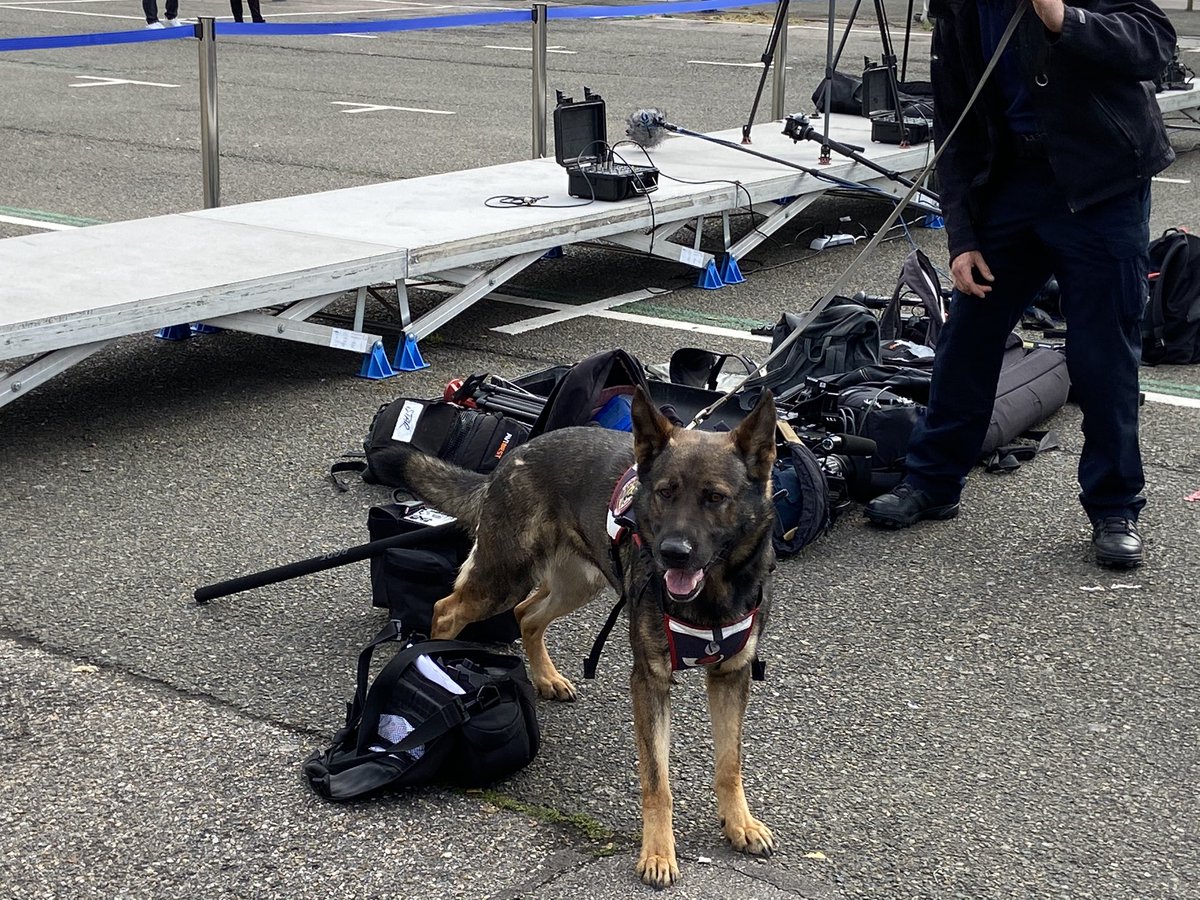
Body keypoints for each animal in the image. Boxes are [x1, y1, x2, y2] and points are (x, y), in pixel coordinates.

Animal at [372, 388, 777, 888]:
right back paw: (433, 658)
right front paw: (658, 851)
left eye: (715, 498)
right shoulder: (650, 682)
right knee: (447, 610)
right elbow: (657, 780)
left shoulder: (730, 677)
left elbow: (729, 764)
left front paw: (739, 823)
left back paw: (545, 677)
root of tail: (516, 456)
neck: (715, 593)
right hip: (504, 578)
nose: (672, 553)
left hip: (579, 583)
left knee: (526, 616)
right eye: (665, 492)